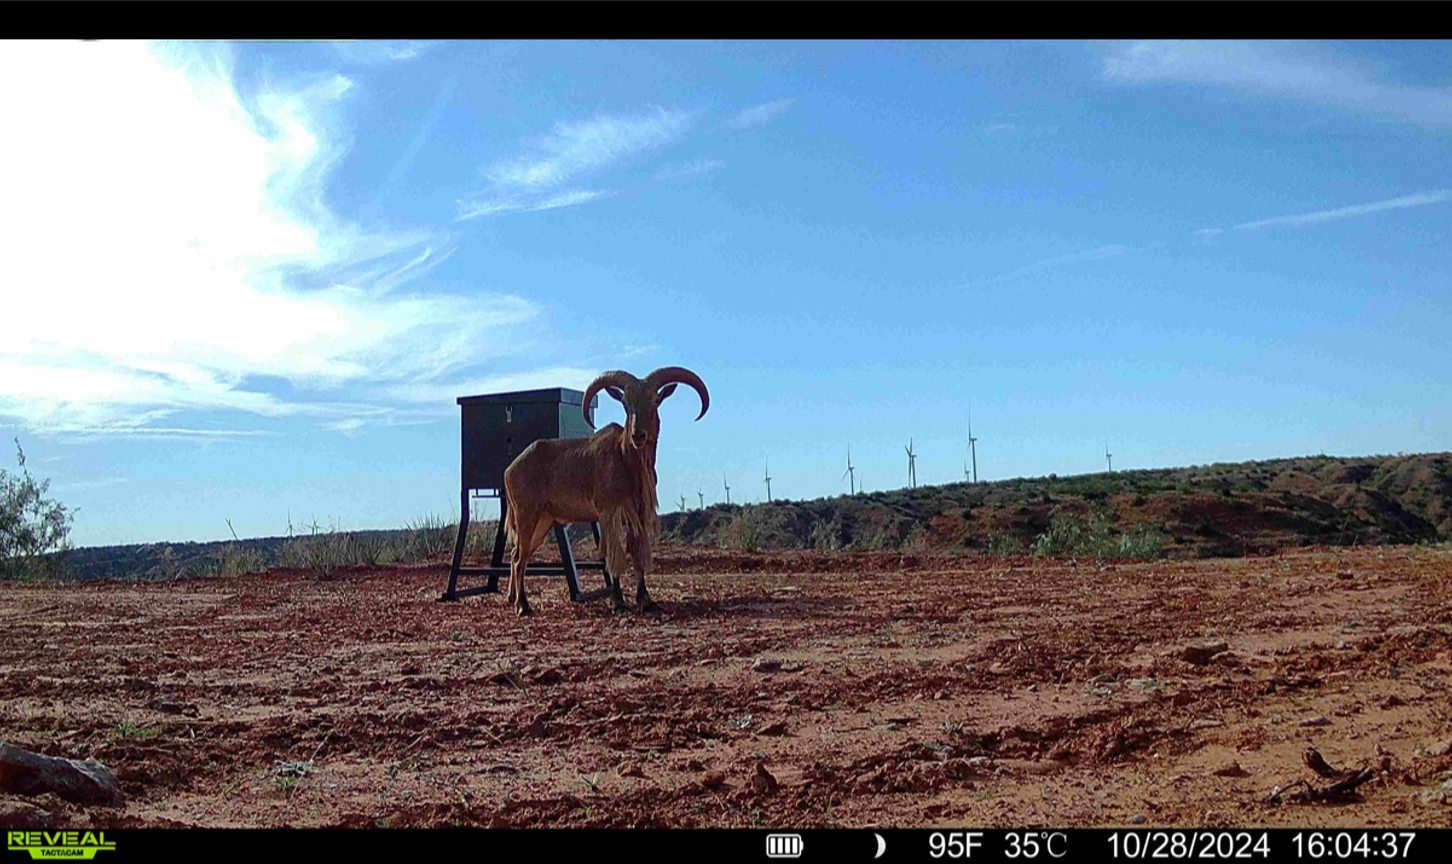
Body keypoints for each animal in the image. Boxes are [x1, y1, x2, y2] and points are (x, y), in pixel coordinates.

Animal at [502, 366, 709, 616]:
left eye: (655, 400)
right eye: (625, 403)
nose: (638, 435)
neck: (626, 461)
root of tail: (509, 468)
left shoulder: (637, 514)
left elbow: (636, 551)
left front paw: (645, 600)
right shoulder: (609, 512)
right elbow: (614, 554)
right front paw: (618, 601)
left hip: (543, 521)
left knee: (517, 555)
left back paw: (512, 599)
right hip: (527, 515)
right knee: (519, 558)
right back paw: (523, 606)